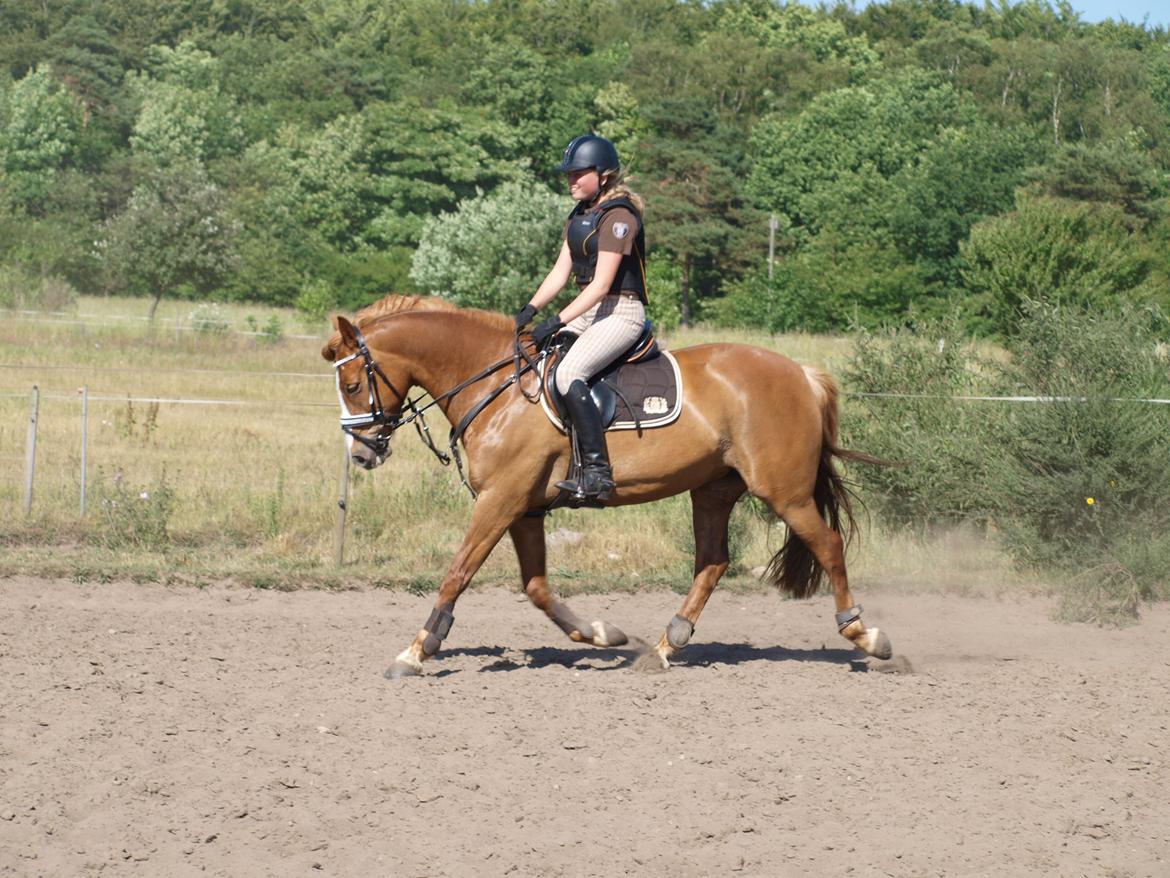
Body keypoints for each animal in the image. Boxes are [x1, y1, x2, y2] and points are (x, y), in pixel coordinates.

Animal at [321, 294, 892, 678]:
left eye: (352, 384)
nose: (363, 453)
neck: (497, 387)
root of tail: (801, 372)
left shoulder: (500, 501)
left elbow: (457, 573)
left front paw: (417, 650)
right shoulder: (524, 509)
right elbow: (537, 588)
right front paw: (601, 634)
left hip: (784, 493)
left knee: (828, 545)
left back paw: (866, 637)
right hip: (713, 489)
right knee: (713, 563)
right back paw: (664, 646)